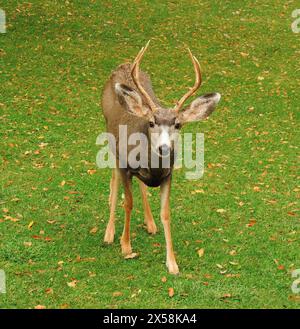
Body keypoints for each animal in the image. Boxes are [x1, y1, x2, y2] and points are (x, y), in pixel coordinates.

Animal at [101, 41, 220, 272]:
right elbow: (128, 203)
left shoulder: (168, 175)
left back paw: (150, 224)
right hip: (111, 140)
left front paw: (172, 263)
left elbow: (166, 213)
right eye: (151, 122)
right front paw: (126, 246)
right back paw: (109, 233)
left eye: (178, 124)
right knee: (113, 180)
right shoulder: (125, 166)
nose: (164, 148)